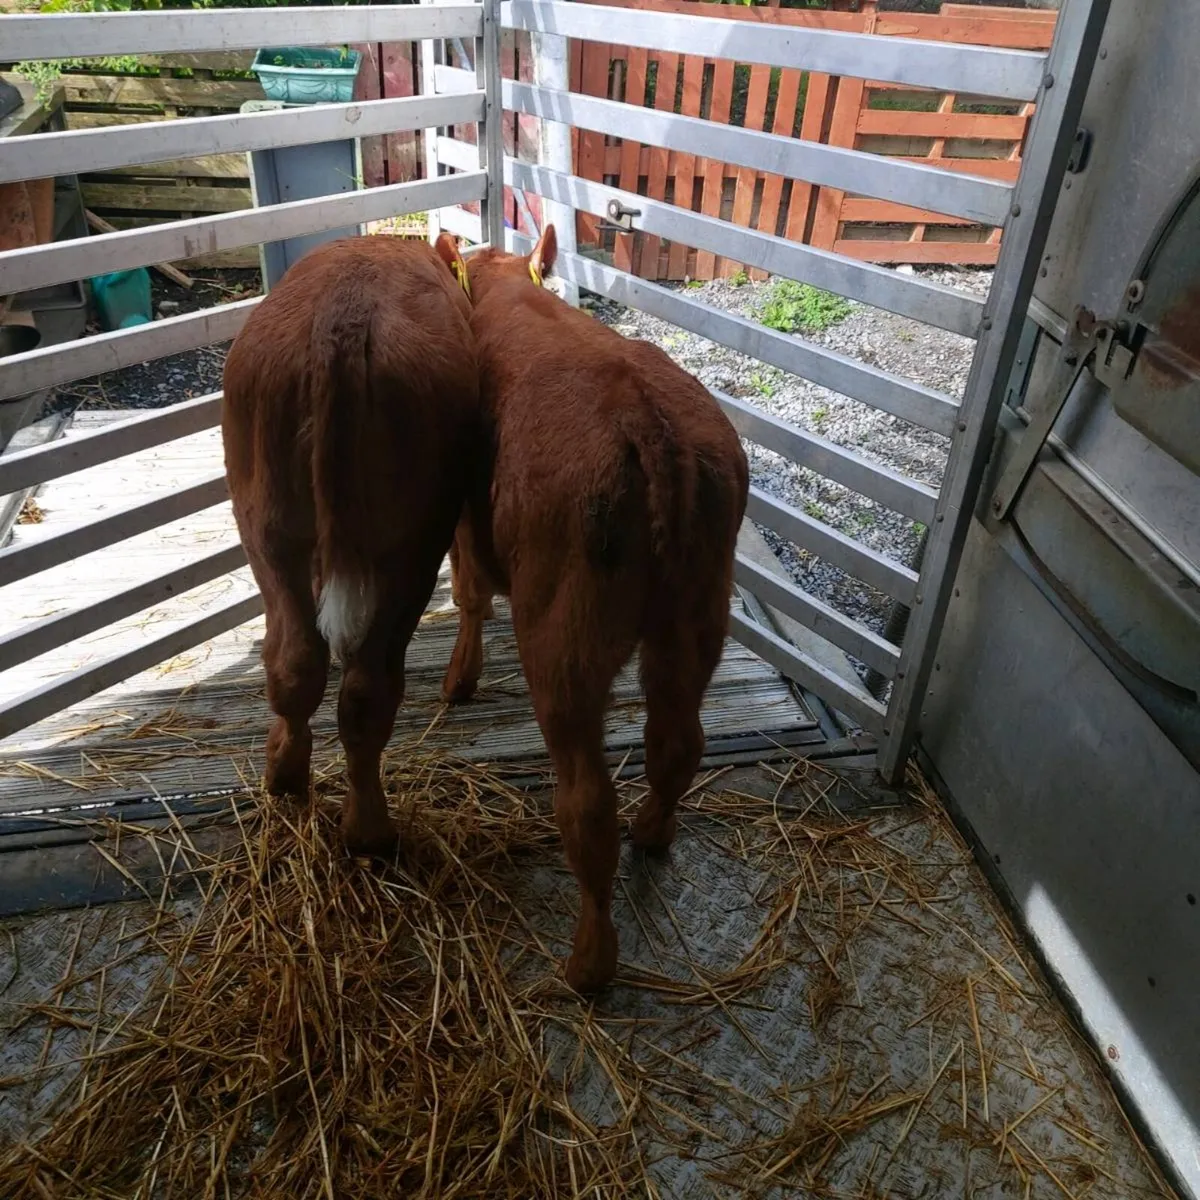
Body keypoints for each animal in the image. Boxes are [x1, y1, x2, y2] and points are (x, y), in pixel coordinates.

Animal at [222, 234, 479, 856]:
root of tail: (342, 319)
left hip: (267, 531)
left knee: (295, 662)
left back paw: (286, 776)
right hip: (409, 548)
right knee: (367, 688)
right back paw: (369, 832)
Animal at [439, 227, 749, 993]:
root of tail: (649, 420)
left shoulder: (463, 519)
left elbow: (468, 596)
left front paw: (460, 680)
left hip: (564, 646)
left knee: (586, 802)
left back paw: (588, 963)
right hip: (697, 619)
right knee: (677, 744)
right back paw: (654, 833)